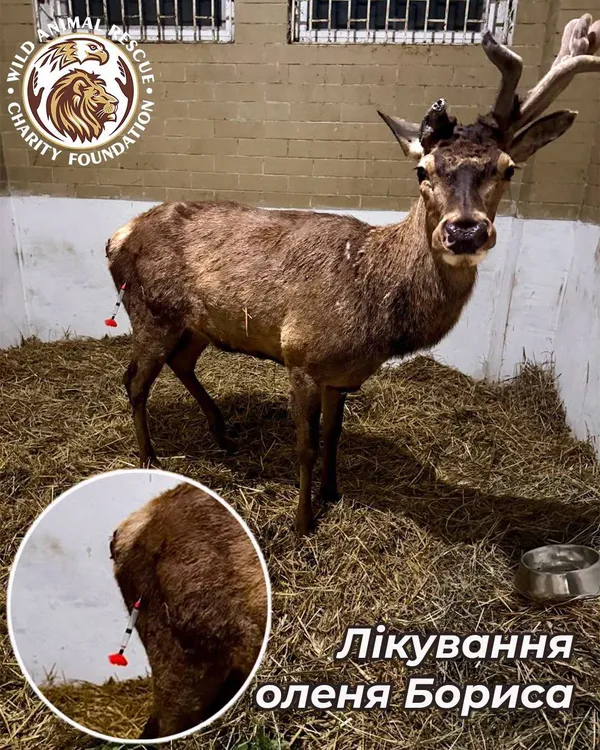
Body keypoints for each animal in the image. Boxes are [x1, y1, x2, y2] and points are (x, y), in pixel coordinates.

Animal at [106, 15, 600, 537]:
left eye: (508, 168)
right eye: (421, 170)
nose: (465, 230)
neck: (377, 316)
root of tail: (117, 236)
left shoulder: (341, 377)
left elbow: (335, 435)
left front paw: (332, 493)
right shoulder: (300, 355)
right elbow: (305, 445)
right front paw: (303, 522)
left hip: (197, 323)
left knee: (179, 365)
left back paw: (222, 434)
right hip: (152, 311)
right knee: (134, 381)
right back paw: (149, 456)